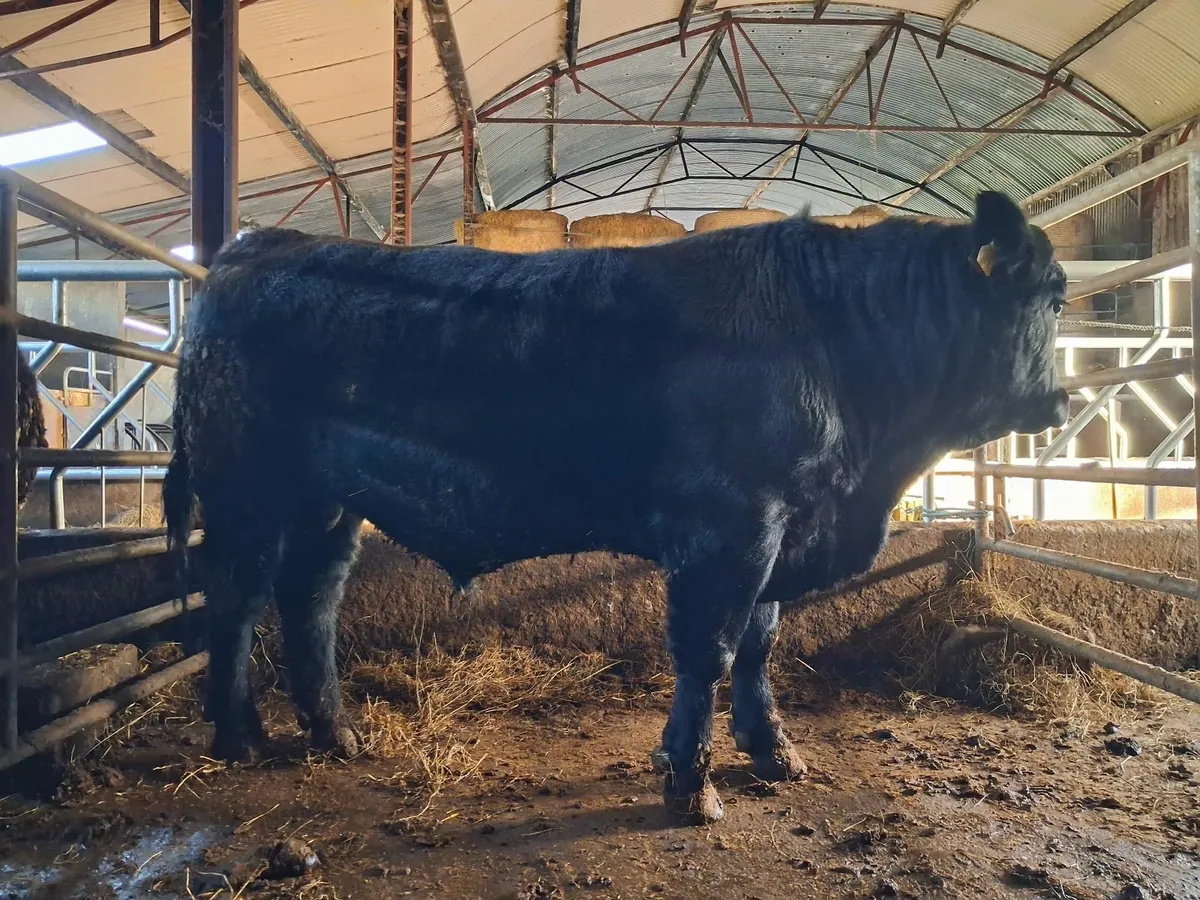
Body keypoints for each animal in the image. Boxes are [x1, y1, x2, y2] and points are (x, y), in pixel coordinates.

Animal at [163, 190, 1068, 825]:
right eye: (1054, 297)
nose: (1059, 403)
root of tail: (259, 245)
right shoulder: (731, 529)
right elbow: (708, 652)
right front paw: (688, 785)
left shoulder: (782, 529)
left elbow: (761, 645)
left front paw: (773, 752)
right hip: (247, 491)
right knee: (238, 598)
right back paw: (240, 738)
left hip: (328, 504)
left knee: (309, 597)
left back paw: (335, 733)